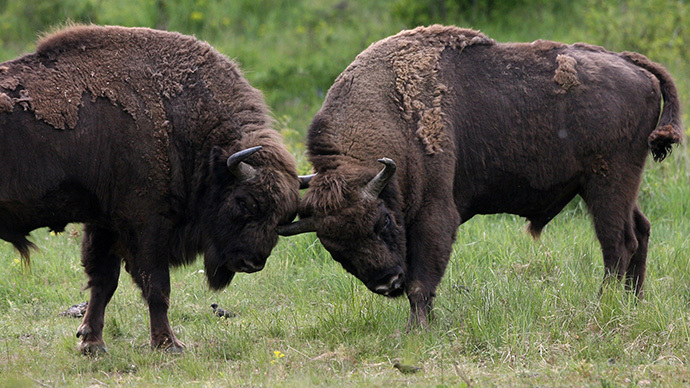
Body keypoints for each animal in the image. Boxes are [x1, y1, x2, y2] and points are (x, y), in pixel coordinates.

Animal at [1, 23, 300, 352]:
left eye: (284, 217)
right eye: (245, 202)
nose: (253, 262)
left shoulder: (104, 223)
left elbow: (103, 281)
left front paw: (92, 343)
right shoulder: (146, 224)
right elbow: (156, 286)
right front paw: (169, 344)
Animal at [276, 25, 680, 330]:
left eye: (383, 222)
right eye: (334, 249)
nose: (388, 283)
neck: (392, 116)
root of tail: (633, 65)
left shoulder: (436, 214)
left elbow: (422, 282)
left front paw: (415, 330)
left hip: (606, 184)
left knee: (619, 244)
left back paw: (603, 306)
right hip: (616, 187)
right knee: (640, 231)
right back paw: (633, 303)